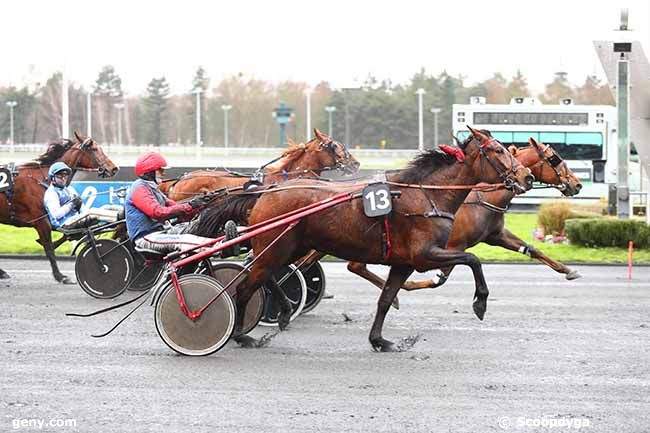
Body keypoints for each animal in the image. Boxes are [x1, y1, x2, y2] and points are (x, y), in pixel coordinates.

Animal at [0, 130, 118, 282]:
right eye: (93, 149)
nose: (114, 168)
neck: (45, 179)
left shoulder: (51, 220)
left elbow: (68, 233)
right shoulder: (41, 221)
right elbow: (49, 248)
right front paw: (60, 275)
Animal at [197, 126, 532, 350]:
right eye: (498, 150)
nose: (526, 176)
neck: (425, 196)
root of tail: (265, 191)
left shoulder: (403, 262)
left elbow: (385, 299)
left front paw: (380, 340)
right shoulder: (424, 255)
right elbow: (473, 259)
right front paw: (480, 303)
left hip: (287, 248)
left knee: (265, 276)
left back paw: (281, 313)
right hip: (275, 248)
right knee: (247, 286)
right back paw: (242, 334)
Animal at [344, 137, 584, 302]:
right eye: (555, 159)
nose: (577, 184)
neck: (482, 196)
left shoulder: (495, 235)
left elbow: (530, 248)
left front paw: (569, 270)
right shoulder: (451, 246)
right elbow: (438, 279)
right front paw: (406, 286)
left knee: (354, 266)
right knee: (355, 265)